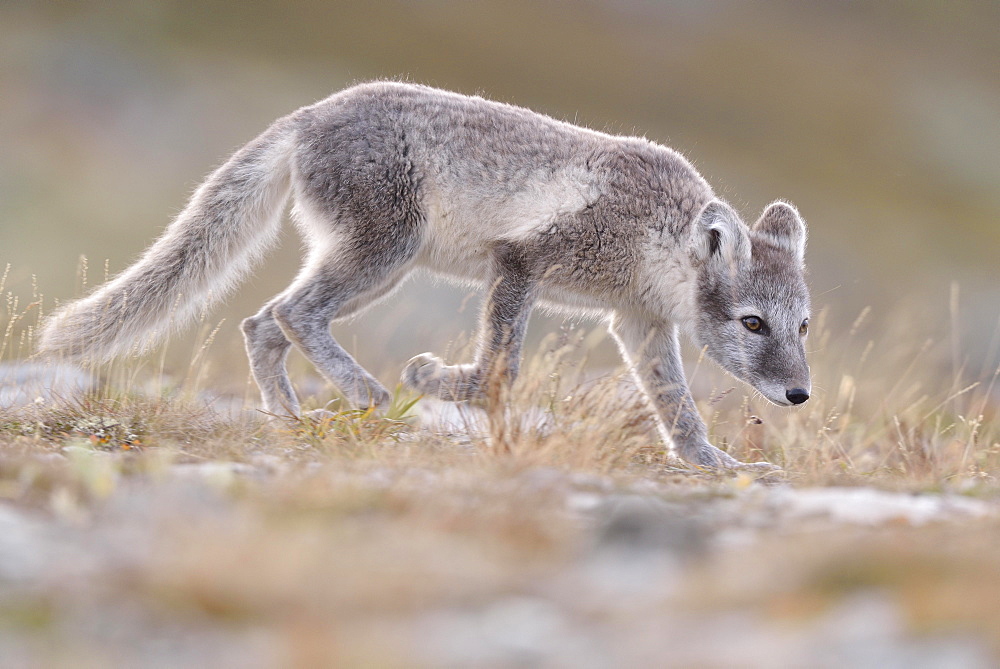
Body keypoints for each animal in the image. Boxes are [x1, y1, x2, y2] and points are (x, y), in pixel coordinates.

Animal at [39, 81, 812, 470]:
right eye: (752, 323)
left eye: (802, 326)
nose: (799, 393)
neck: (659, 237)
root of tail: (309, 113)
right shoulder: (520, 260)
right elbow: (501, 368)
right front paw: (433, 377)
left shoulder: (638, 323)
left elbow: (675, 405)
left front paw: (712, 461)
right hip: (386, 253)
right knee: (290, 313)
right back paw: (368, 392)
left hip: (377, 266)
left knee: (263, 321)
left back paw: (289, 416)